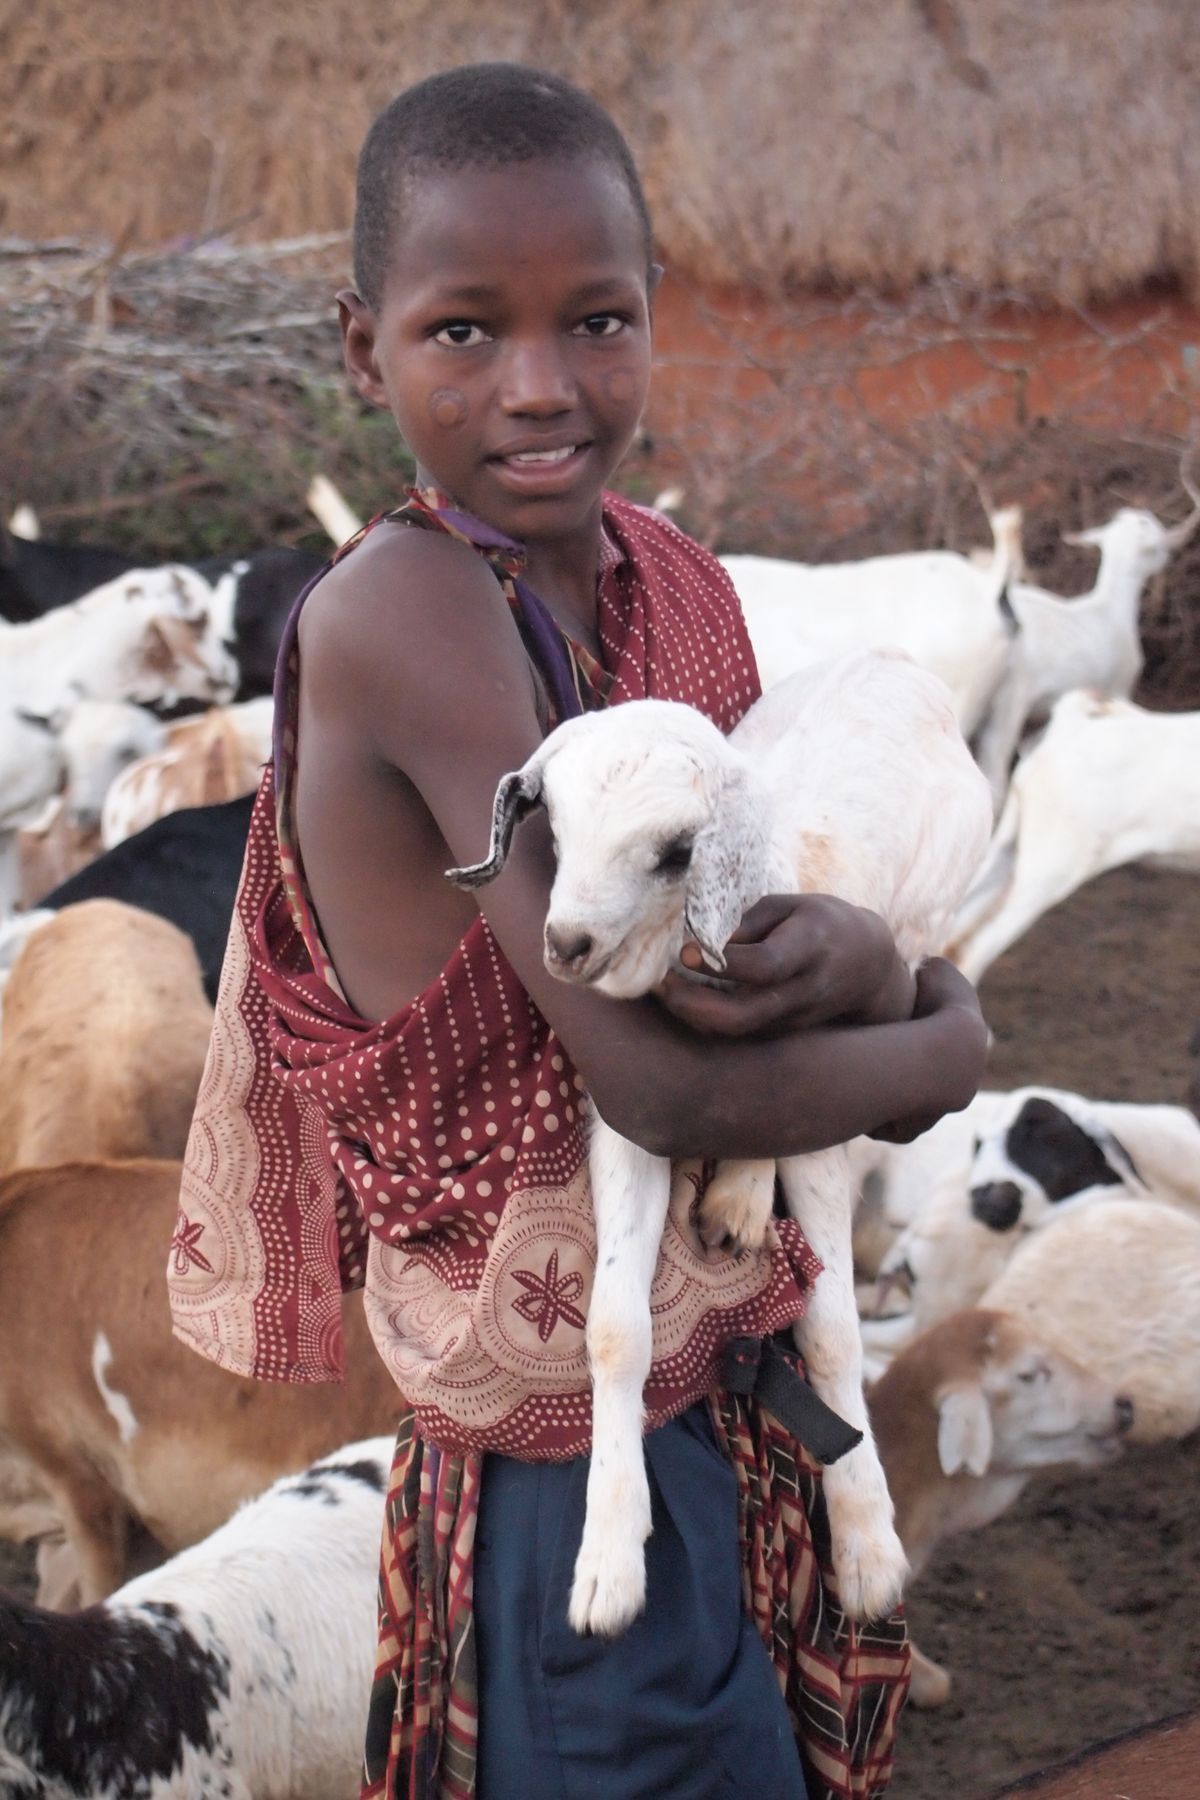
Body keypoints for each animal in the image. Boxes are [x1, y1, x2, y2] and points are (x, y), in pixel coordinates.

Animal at [449, 651, 993, 1648]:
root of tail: (900, 668)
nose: (566, 944)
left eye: (675, 852)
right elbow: (615, 1328)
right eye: (557, 828)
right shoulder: (635, 1116)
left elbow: (832, 1329)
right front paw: (608, 1566)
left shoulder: (832, 1097)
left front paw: (869, 1551)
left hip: (921, 922)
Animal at [971, 478, 1194, 802]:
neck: (1109, 607)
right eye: (1153, 533)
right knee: (994, 766)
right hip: (1009, 701)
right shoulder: (1120, 687)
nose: (1169, 553)